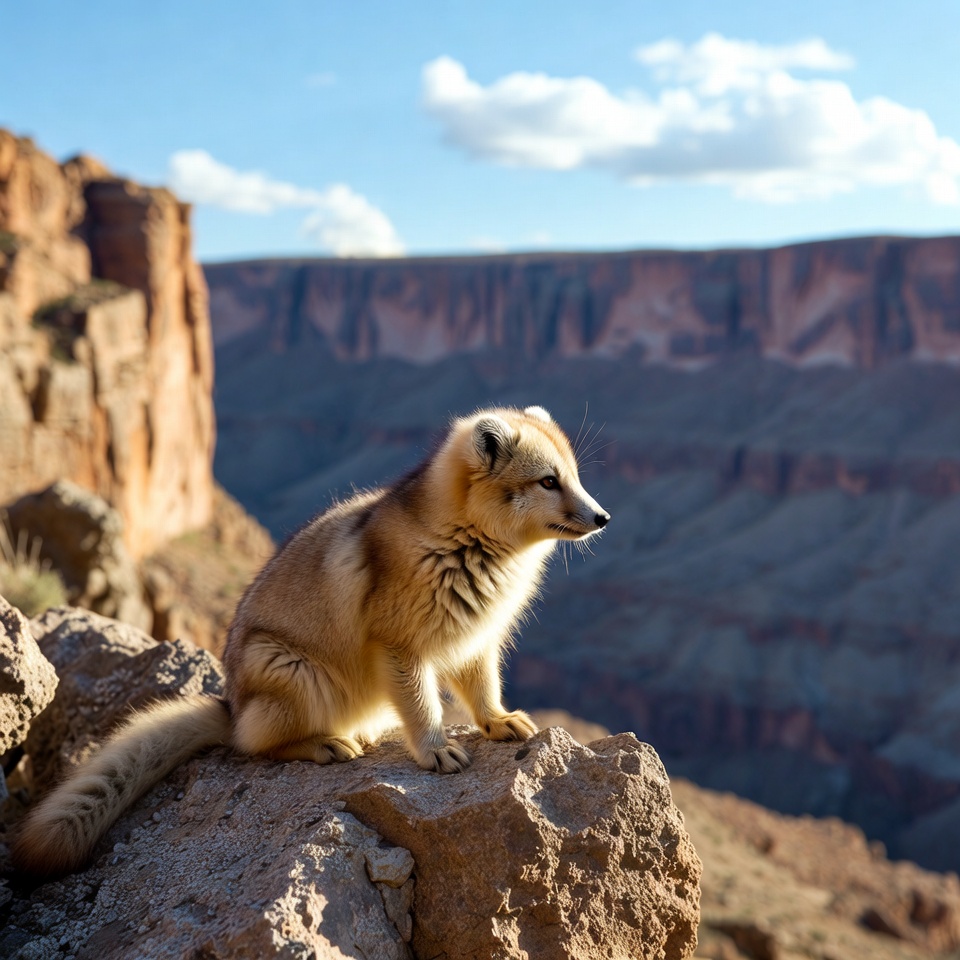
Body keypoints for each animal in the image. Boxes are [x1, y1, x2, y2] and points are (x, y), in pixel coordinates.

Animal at [13, 405, 610, 876]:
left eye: (576, 475)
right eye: (548, 481)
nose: (604, 517)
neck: (467, 543)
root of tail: (231, 706)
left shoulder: (475, 643)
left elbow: (484, 692)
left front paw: (503, 723)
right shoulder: (401, 648)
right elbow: (423, 707)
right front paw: (438, 752)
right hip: (297, 675)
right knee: (255, 745)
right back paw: (327, 744)